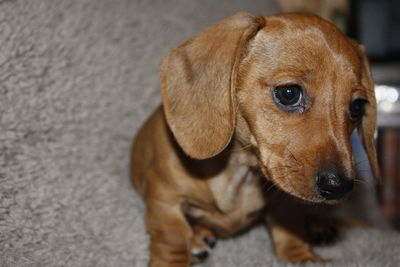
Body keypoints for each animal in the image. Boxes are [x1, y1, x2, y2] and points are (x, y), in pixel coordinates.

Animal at [130, 13, 378, 267]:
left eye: (357, 108)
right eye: (289, 93)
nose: (339, 186)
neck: (239, 171)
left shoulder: (285, 201)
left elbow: (290, 226)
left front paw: (302, 256)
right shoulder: (165, 199)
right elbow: (171, 237)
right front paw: (173, 258)